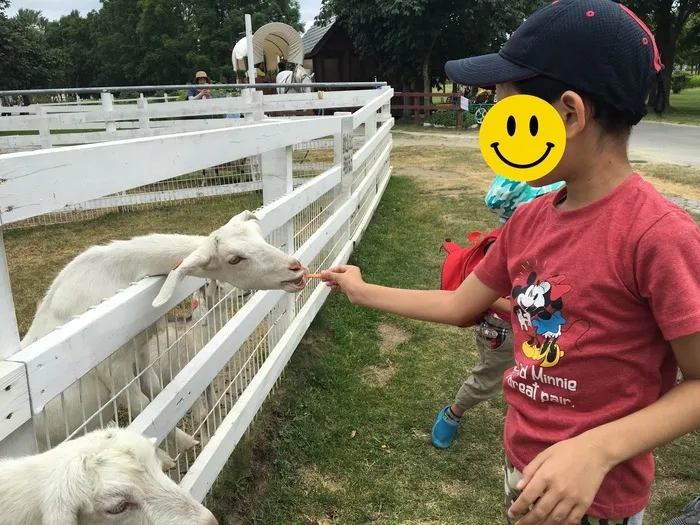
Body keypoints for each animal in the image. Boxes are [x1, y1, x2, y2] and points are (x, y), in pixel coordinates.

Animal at [22, 211, 306, 452]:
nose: (297, 269)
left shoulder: (141, 353)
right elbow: (142, 404)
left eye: (259, 235)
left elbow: (156, 394)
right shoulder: (112, 367)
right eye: (234, 259)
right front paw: (173, 450)